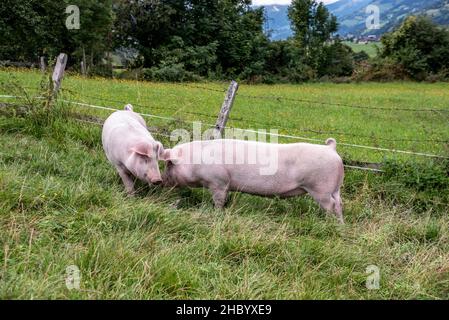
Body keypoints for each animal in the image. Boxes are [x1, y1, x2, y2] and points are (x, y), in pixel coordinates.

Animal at [162, 139, 346, 224]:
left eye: (169, 164)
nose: (162, 180)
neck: (195, 162)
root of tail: (331, 149)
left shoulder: (218, 182)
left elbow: (218, 200)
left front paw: (217, 212)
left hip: (320, 188)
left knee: (331, 205)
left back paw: (328, 222)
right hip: (334, 188)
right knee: (339, 204)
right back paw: (340, 225)